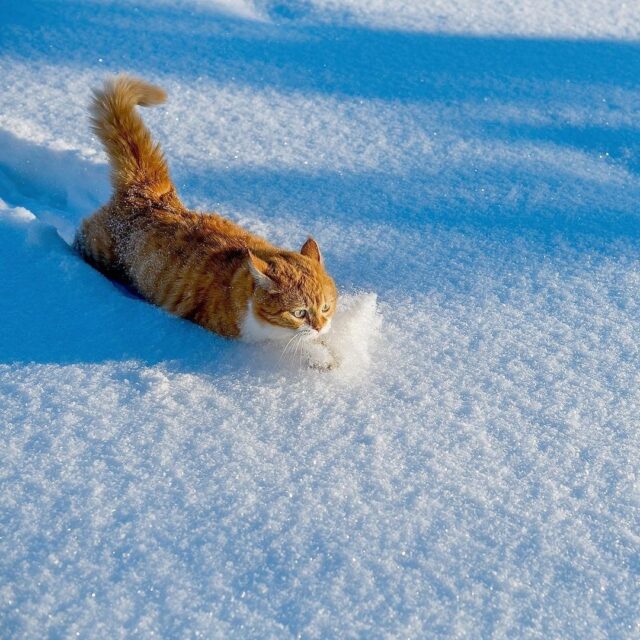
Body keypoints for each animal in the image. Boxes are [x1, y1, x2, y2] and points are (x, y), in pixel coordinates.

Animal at [75, 75, 338, 364]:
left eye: (326, 307)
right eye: (299, 313)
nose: (320, 326)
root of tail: (148, 194)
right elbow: (289, 346)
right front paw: (319, 356)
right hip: (98, 248)